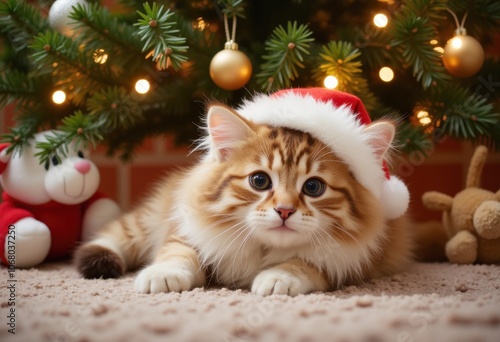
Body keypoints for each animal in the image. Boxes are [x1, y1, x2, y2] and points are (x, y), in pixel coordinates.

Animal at [73, 89, 410, 296]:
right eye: (259, 181)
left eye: (313, 187)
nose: (285, 210)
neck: (262, 249)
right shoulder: (185, 228)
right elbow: (177, 251)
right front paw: (163, 275)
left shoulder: (350, 262)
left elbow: (304, 262)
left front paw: (279, 277)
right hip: (147, 218)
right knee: (115, 234)